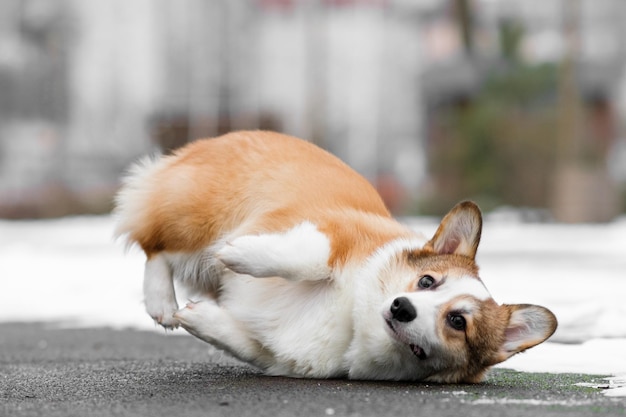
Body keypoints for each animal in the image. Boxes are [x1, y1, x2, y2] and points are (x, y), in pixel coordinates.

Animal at [116, 129, 556, 380]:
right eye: (428, 281)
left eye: (458, 322)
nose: (401, 308)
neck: (354, 317)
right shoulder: (332, 230)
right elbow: (307, 257)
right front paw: (239, 252)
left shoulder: (276, 357)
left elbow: (240, 339)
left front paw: (199, 317)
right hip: (198, 216)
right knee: (156, 244)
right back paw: (161, 299)